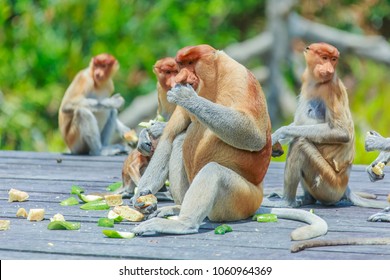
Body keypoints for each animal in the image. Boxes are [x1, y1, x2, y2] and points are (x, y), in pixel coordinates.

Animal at [129, 44, 330, 241]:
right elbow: (169, 138)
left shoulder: (240, 78)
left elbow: (254, 135)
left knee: (213, 171)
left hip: (242, 198)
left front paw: (186, 97)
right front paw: (141, 195)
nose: (180, 78)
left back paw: (184, 223)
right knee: (179, 140)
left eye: (190, 63)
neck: (213, 82)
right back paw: (177, 208)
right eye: (181, 65)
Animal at [264, 43, 388, 210]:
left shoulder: (330, 89)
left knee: (300, 143)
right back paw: (305, 199)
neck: (316, 83)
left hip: (329, 184)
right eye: (324, 58)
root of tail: (345, 187)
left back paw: (286, 202)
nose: (329, 69)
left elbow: (342, 132)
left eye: (333, 59)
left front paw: (279, 133)